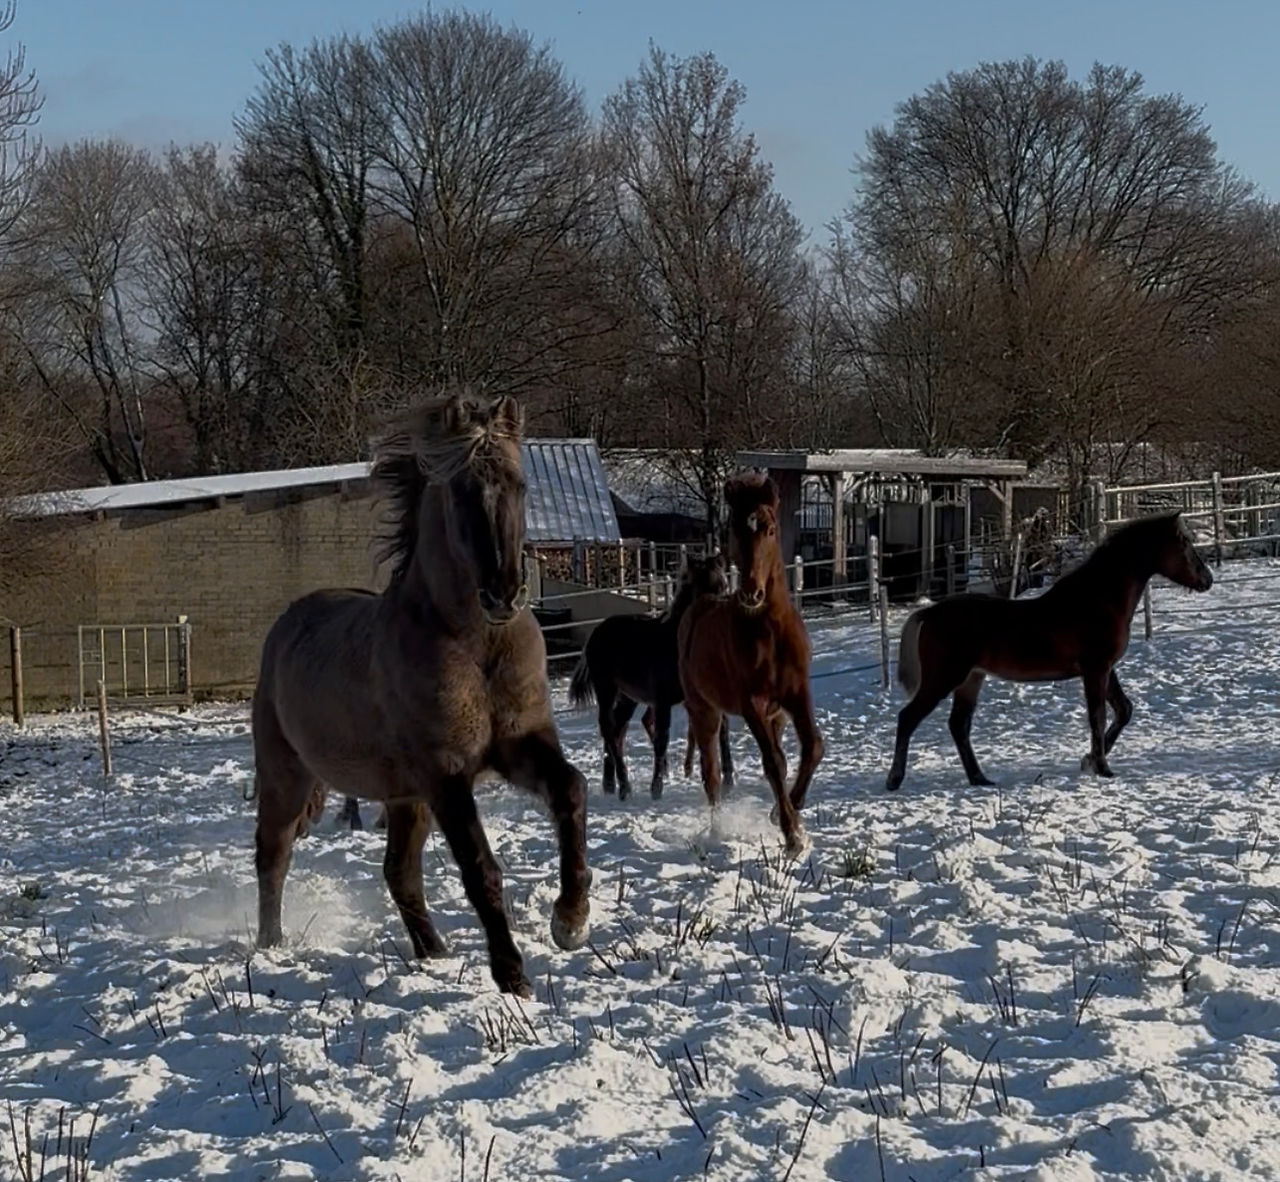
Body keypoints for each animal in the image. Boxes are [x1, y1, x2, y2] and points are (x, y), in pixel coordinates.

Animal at [250, 392, 591, 997]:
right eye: (461, 492)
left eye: (520, 484)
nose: (503, 593)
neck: (477, 644)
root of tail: (286, 626)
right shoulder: (446, 774)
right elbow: (480, 868)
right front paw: (512, 975)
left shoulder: (520, 747)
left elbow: (571, 791)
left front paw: (570, 922)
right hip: (288, 777)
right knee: (274, 855)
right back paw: (272, 947)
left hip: (403, 798)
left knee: (399, 874)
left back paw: (433, 951)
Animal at [568, 554, 734, 800]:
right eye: (701, 588)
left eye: (723, 585)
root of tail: (597, 632)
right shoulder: (662, 701)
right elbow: (662, 739)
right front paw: (656, 788)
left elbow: (722, 731)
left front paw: (729, 780)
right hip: (606, 688)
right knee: (608, 727)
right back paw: (624, 786)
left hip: (628, 696)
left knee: (617, 729)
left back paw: (610, 784)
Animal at [678, 472, 824, 853]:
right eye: (734, 530)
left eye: (770, 529)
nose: (751, 593)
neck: (770, 632)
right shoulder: (751, 704)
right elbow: (771, 763)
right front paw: (791, 834)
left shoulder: (797, 695)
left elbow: (811, 748)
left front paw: (787, 813)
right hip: (705, 712)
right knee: (712, 774)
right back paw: (716, 830)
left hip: (777, 717)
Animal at [885, 511, 1214, 792]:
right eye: (1185, 543)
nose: (1207, 579)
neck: (1099, 599)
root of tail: (929, 613)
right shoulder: (1096, 668)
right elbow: (1098, 716)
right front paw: (1102, 767)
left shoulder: (1106, 668)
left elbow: (1123, 709)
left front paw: (1089, 761)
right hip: (944, 678)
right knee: (908, 718)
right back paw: (894, 779)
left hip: (971, 680)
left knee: (958, 726)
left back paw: (979, 778)